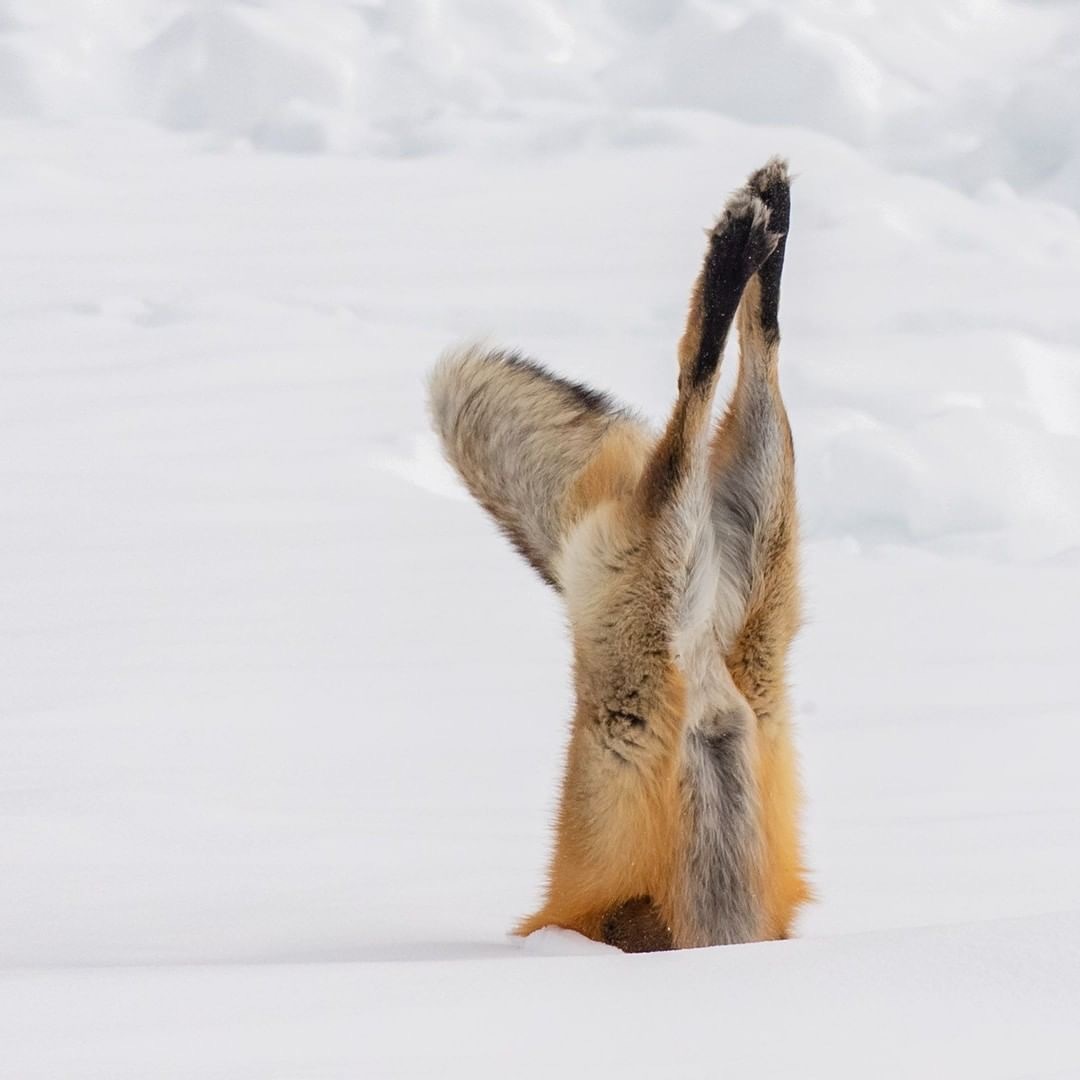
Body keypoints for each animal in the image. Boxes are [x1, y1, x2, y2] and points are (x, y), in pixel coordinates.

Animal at [425, 156, 807, 950]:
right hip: (764, 578)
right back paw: (767, 227)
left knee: (692, 389)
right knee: (759, 356)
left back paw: (736, 245)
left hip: (644, 603)